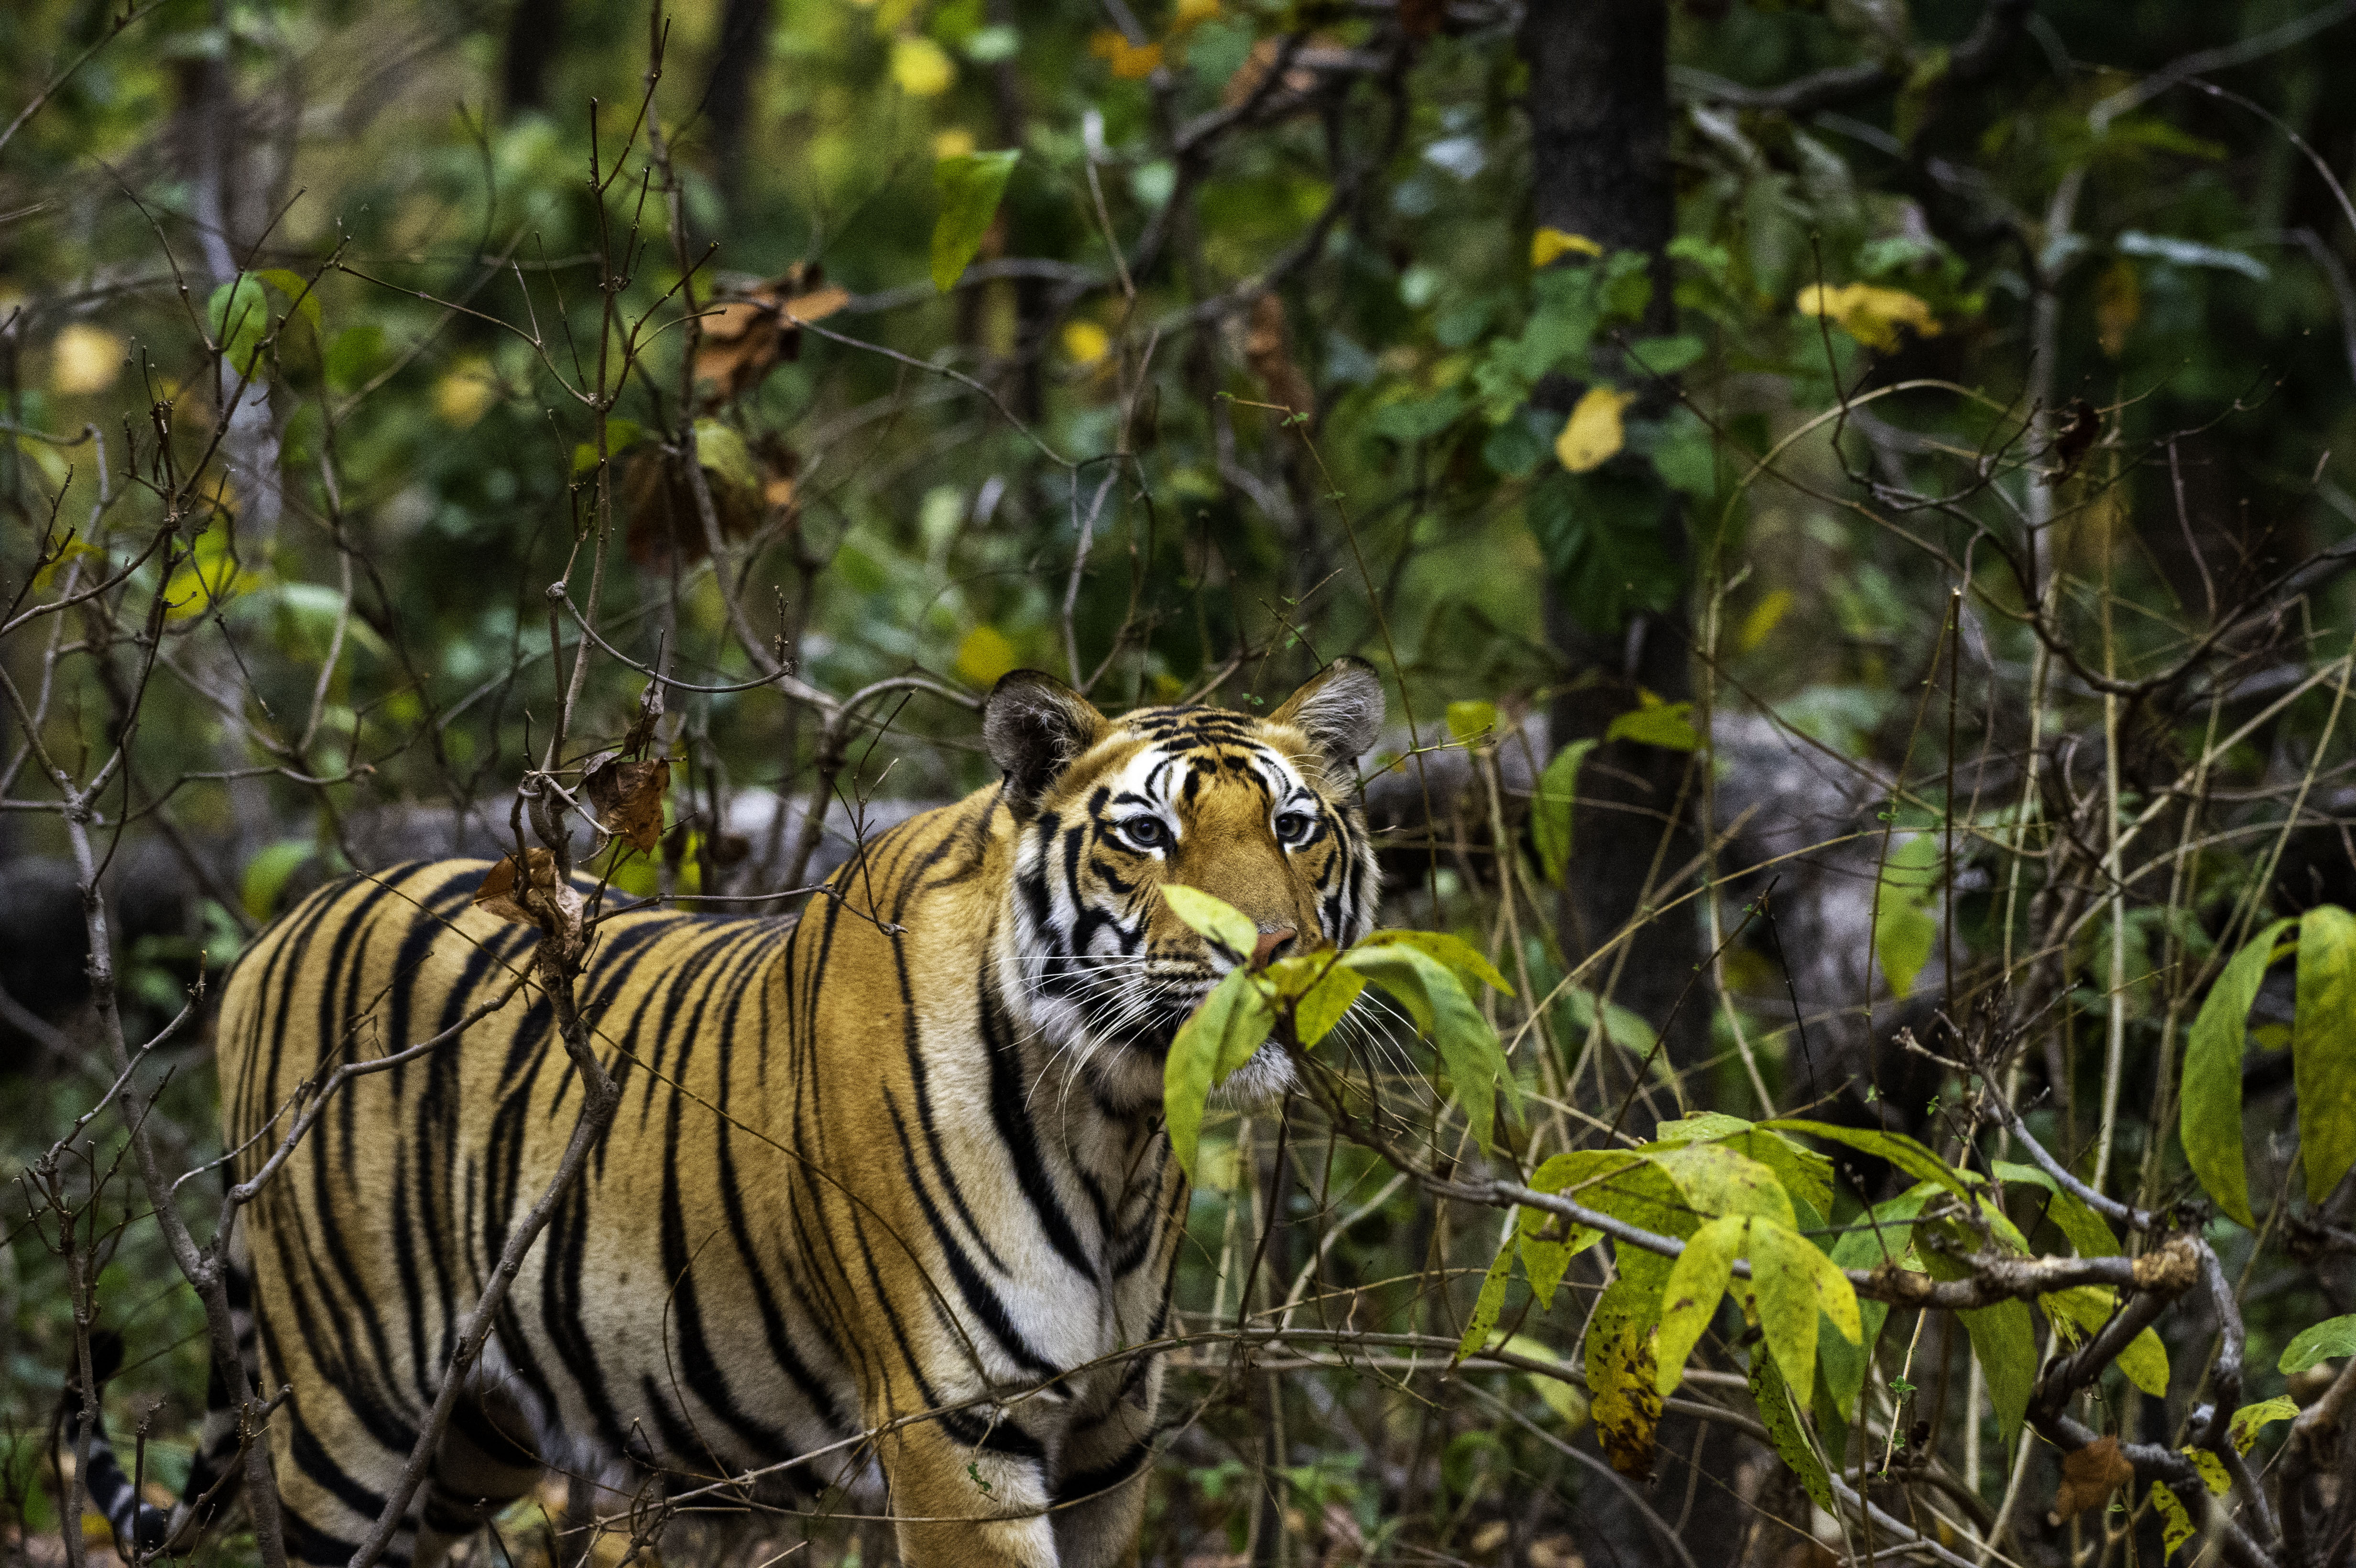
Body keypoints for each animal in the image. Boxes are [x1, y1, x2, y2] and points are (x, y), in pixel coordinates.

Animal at [69, 659, 1385, 1568]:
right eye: (1147, 833)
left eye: (1294, 825)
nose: (1276, 951)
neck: (1114, 1121)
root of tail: (268, 938)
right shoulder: (958, 1427)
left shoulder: (1110, 1436)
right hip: (350, 1428)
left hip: (473, 1434)